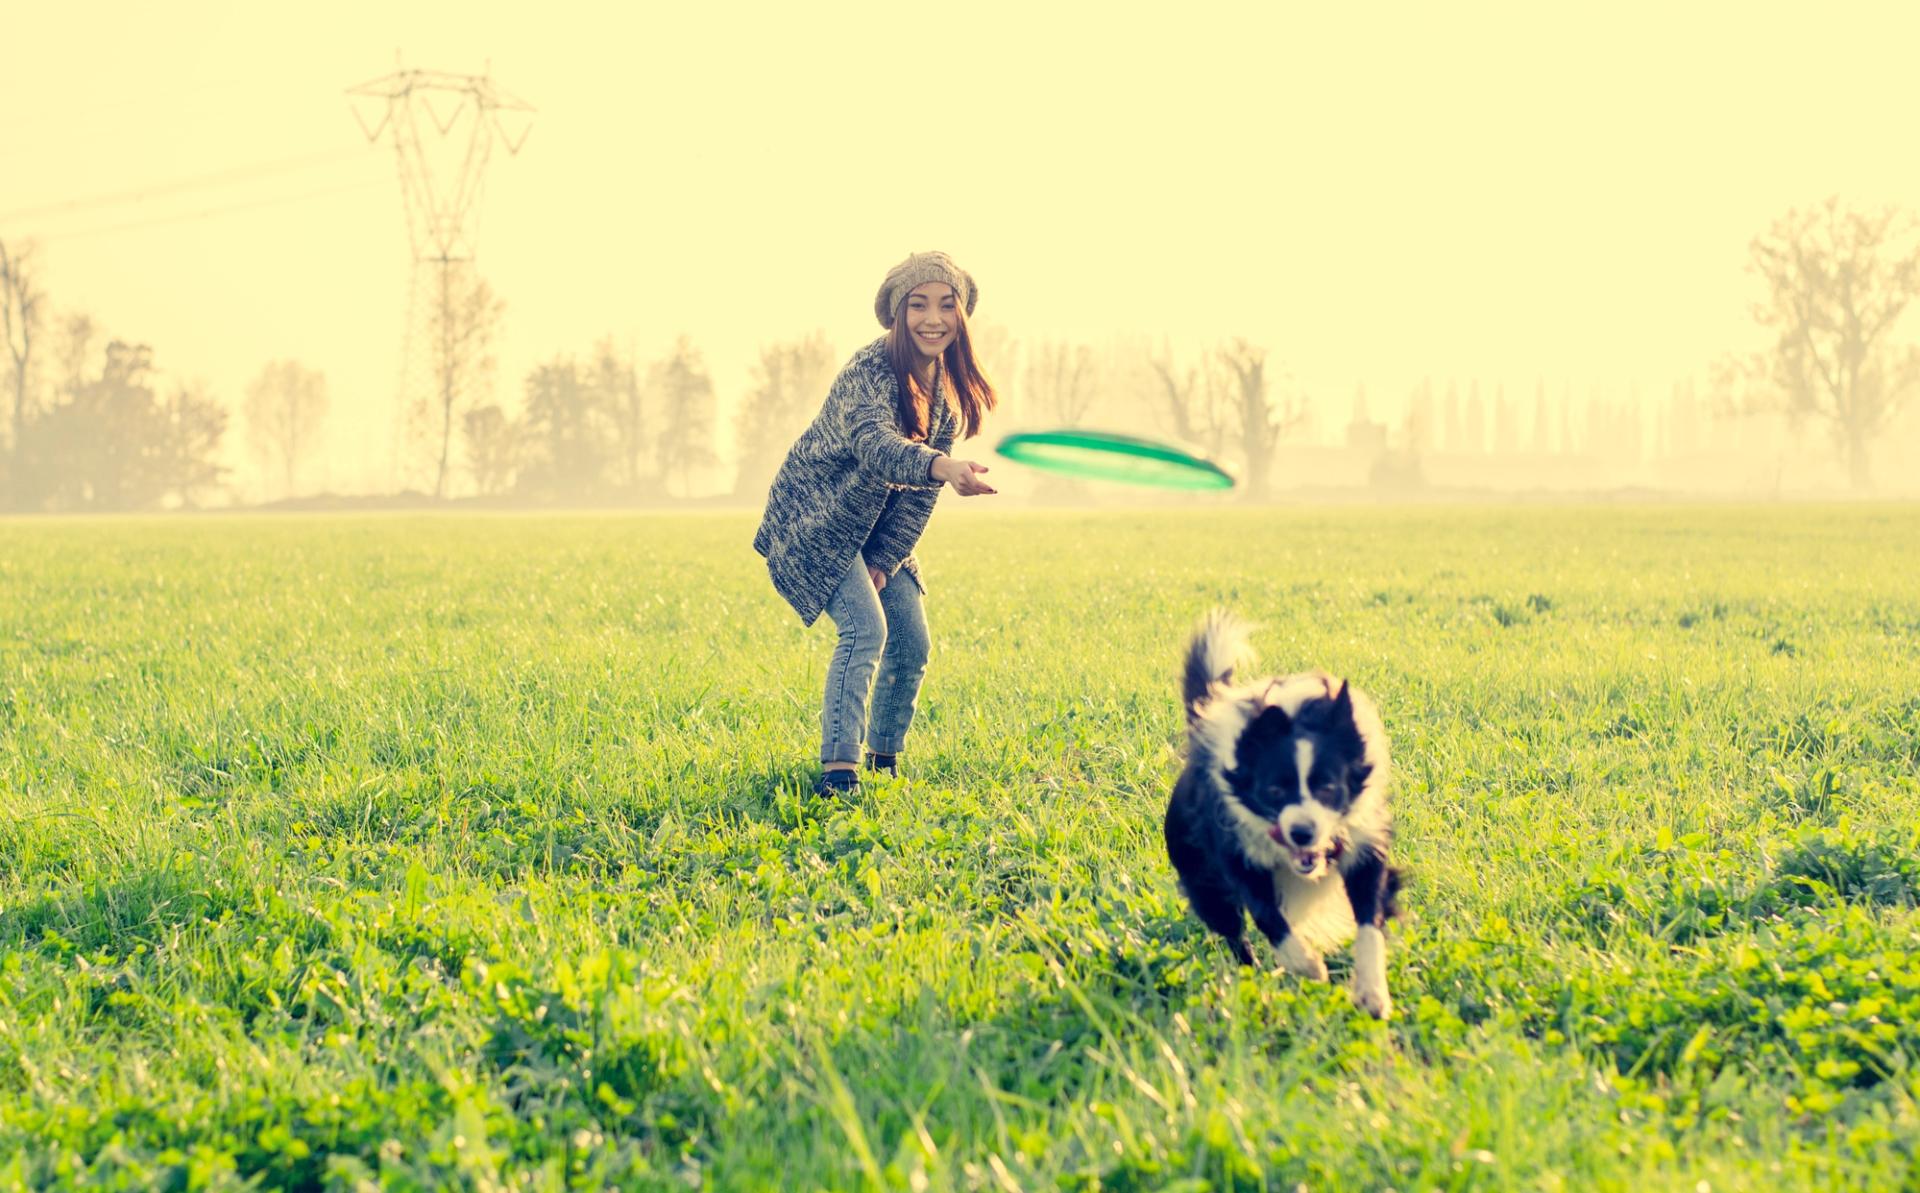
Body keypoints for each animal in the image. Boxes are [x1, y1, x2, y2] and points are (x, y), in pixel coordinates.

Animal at [1159, 614, 1405, 1014]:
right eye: (1273, 791)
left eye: (1328, 788)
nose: (1302, 833)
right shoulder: (1237, 854)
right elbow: (1267, 915)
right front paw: (1306, 964)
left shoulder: (1364, 846)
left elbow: (1370, 919)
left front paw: (1372, 993)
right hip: (1202, 879)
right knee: (1233, 931)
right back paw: (1253, 976)